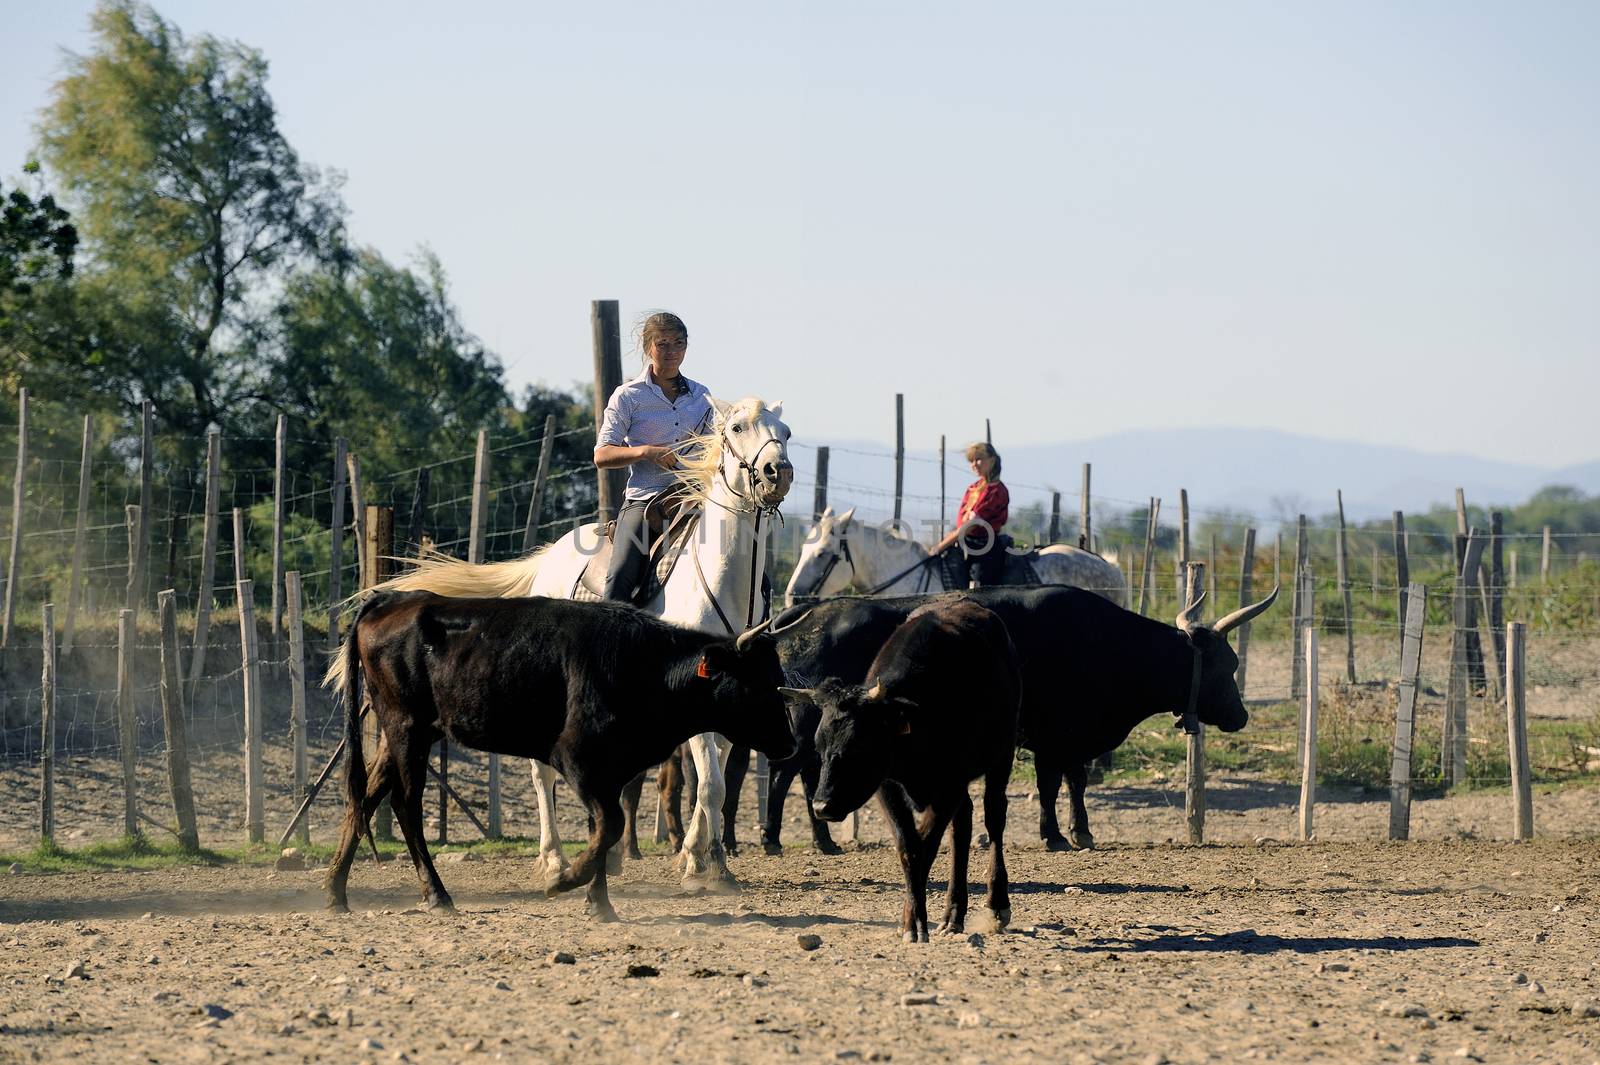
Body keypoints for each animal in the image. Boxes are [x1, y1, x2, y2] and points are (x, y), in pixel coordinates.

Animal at [376, 398, 800, 889]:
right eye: (736, 428)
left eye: (786, 431)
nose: (777, 472)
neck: (722, 581)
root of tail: (550, 557)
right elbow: (711, 783)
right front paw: (701, 866)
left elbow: (715, 780)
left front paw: (706, 859)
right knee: (542, 773)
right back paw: (554, 859)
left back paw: (608, 856)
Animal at [732, 575, 1280, 850]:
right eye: (1228, 663)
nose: (1240, 716)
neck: (1108, 642)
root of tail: (807, 613)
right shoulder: (1058, 735)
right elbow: (1062, 783)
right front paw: (1065, 834)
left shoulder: (1056, 737)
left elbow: (1066, 783)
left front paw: (1069, 831)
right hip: (809, 728)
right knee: (789, 774)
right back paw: (790, 838)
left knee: (786, 773)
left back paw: (792, 839)